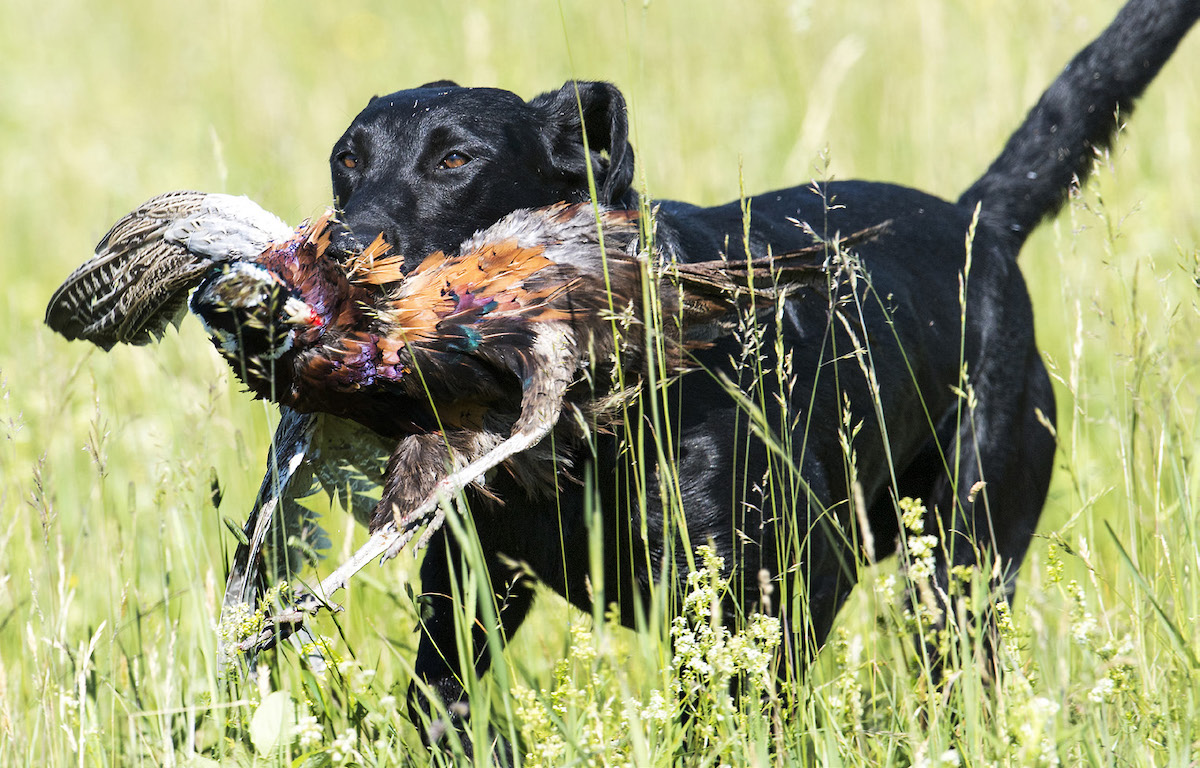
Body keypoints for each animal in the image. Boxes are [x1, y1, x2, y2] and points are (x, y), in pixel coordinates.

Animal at [326, 0, 1200, 748]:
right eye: (347, 159)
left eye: (455, 158)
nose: (341, 252)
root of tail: (978, 223)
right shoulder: (466, 578)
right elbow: (440, 701)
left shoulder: (787, 577)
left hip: (964, 554)